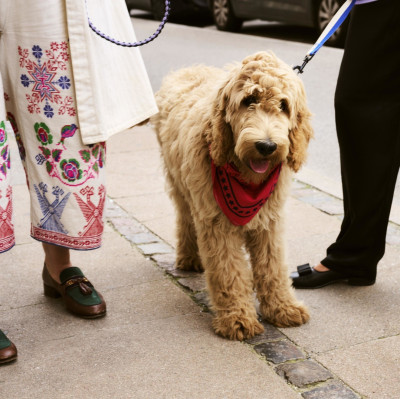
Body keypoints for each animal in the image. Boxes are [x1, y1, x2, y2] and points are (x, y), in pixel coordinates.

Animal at [152, 51, 312, 342]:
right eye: (248, 101)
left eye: (283, 105)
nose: (267, 146)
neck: (247, 181)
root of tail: (189, 69)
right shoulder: (217, 224)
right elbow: (228, 272)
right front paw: (237, 318)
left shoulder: (269, 221)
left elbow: (273, 266)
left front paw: (283, 308)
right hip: (180, 184)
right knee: (185, 218)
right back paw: (189, 257)